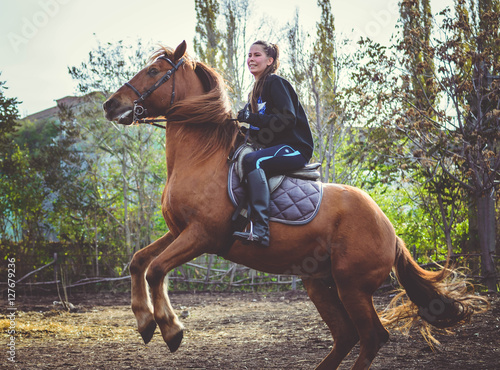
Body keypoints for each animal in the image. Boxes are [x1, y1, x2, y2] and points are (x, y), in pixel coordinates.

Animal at [102, 41, 488, 370]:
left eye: (154, 71)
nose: (110, 105)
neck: (201, 157)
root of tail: (390, 231)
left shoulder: (202, 235)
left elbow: (156, 270)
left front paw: (170, 329)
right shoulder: (179, 231)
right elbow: (138, 262)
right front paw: (145, 323)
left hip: (352, 287)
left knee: (372, 337)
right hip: (320, 284)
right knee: (348, 335)